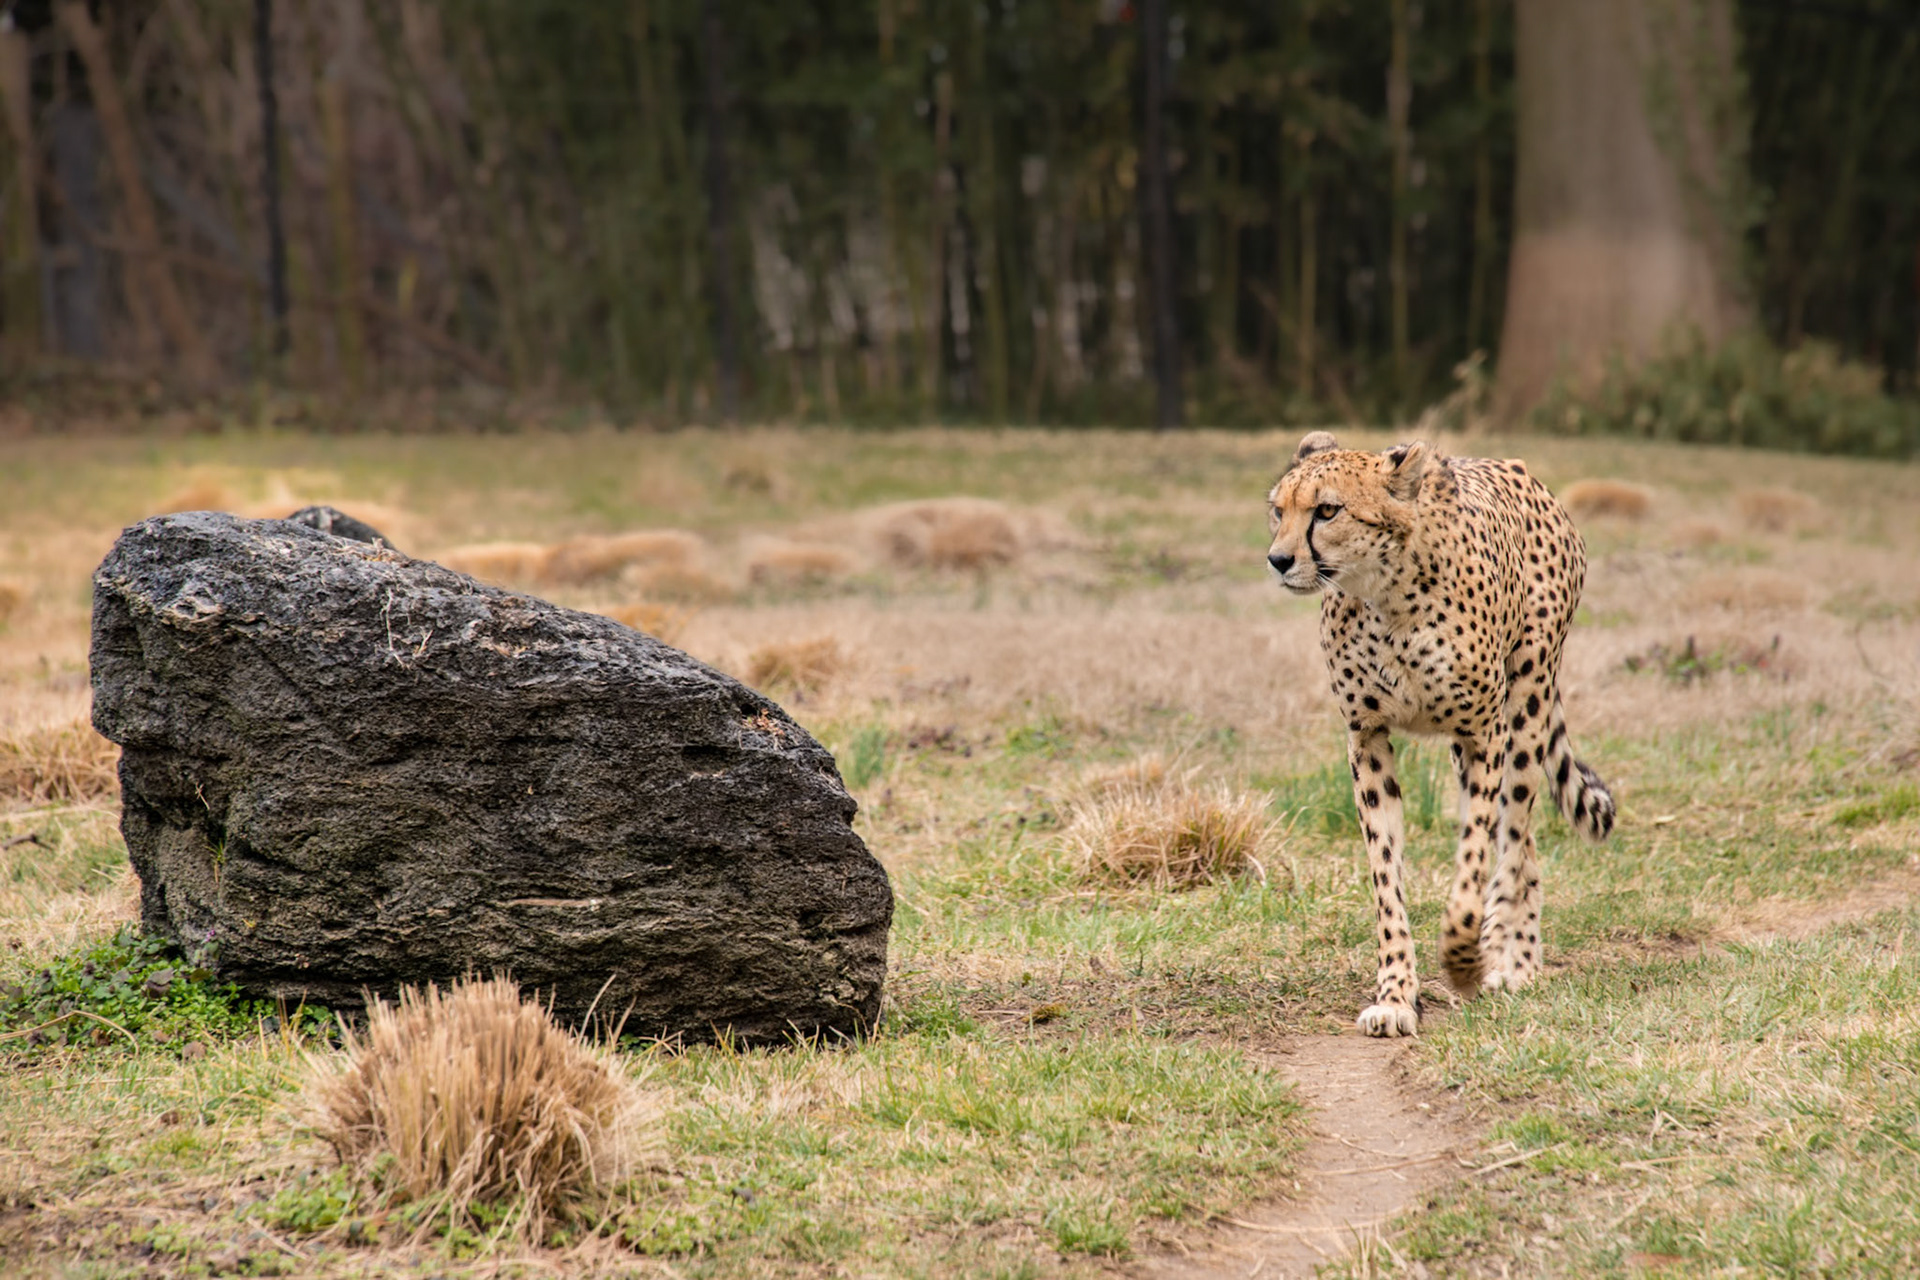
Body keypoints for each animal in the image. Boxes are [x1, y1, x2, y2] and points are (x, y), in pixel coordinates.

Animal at [1266, 431, 1616, 1038]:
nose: (1279, 559)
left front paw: (1462, 956)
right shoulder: (1367, 738)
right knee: (1526, 848)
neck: (1388, 597)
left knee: (1515, 842)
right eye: (1277, 510)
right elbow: (1386, 876)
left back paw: (1515, 962)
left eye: (1327, 510)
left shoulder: (1484, 736)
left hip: (1524, 710)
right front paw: (1395, 994)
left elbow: (1473, 860)